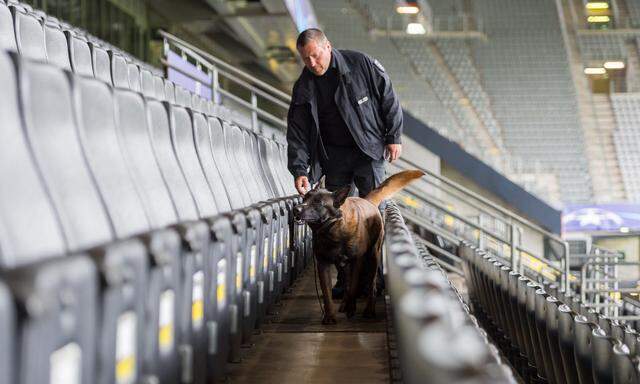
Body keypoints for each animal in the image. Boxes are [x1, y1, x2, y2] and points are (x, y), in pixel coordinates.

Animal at [292, 170, 422, 322]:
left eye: (318, 203)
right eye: (305, 198)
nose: (296, 209)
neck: (333, 228)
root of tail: (368, 201)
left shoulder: (356, 261)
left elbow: (354, 287)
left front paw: (351, 309)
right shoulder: (323, 264)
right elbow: (327, 293)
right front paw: (330, 316)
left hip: (372, 257)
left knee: (371, 286)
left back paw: (368, 310)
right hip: (342, 266)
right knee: (346, 284)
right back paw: (344, 304)